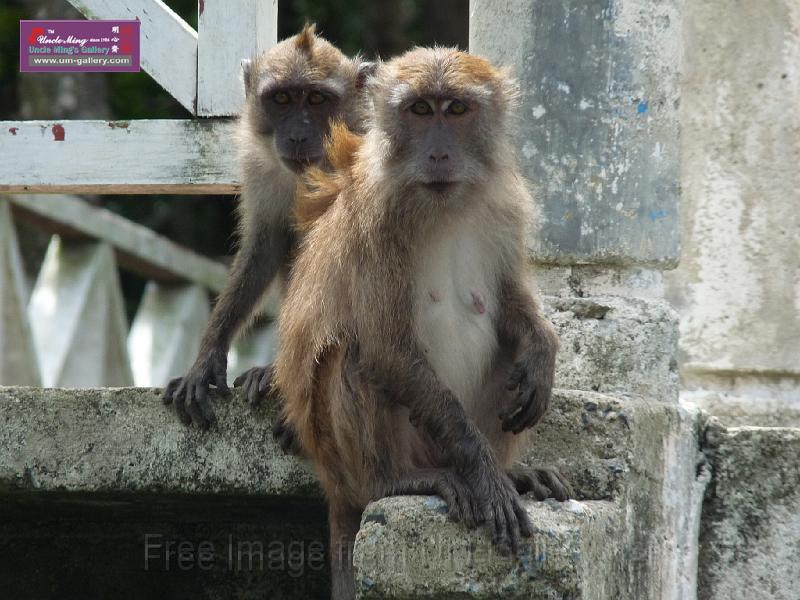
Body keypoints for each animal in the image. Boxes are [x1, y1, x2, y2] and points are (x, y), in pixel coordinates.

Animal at [163, 24, 378, 426]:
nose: (297, 135)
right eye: (281, 98)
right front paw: (206, 360)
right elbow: (266, 244)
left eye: (316, 99)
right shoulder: (257, 164)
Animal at [272, 48, 572, 600]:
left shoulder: (505, 207)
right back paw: (397, 481)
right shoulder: (376, 223)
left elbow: (509, 304)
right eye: (419, 109)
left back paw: (514, 471)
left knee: (507, 353)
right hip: (353, 457)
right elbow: (386, 349)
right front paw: (484, 474)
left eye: (455, 109)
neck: (441, 205)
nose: (438, 153)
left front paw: (542, 352)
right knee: (353, 355)